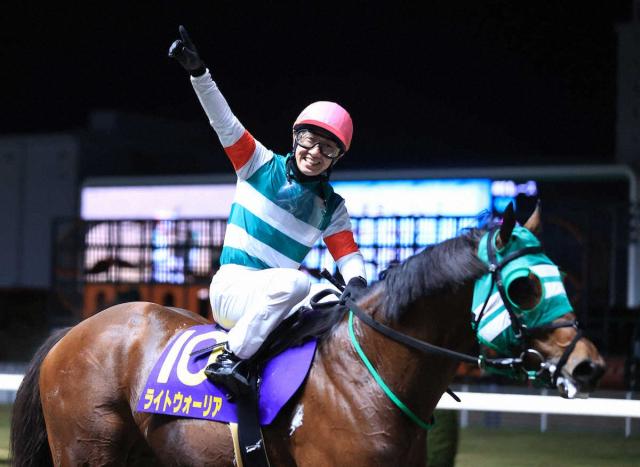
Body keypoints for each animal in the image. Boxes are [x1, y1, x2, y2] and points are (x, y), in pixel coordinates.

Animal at [11, 205, 605, 466]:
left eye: (559, 274)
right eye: (524, 286)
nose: (589, 365)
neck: (372, 375)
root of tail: (72, 332)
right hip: (87, 450)